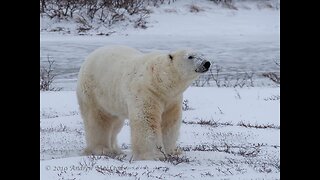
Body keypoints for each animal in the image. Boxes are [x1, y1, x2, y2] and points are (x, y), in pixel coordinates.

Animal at [76, 45, 211, 160]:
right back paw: (102, 149)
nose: (206, 63)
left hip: (112, 99)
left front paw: (171, 151)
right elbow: (146, 121)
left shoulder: (172, 99)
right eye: (190, 56)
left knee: (115, 123)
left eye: (202, 54)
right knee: (98, 120)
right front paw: (154, 155)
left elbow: (169, 122)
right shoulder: (146, 92)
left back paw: (116, 149)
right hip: (94, 93)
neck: (159, 81)